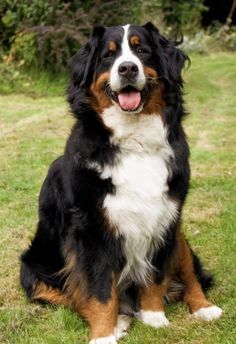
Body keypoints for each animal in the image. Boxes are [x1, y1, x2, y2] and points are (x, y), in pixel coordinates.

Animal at [19, 22, 221, 342]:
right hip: (32, 267)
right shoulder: (92, 229)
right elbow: (99, 289)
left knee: (190, 273)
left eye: (142, 50)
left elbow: (156, 275)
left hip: (180, 236)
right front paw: (103, 334)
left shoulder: (165, 218)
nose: (127, 68)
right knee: (69, 294)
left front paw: (154, 318)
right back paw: (120, 320)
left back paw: (204, 307)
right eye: (108, 55)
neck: (134, 141)